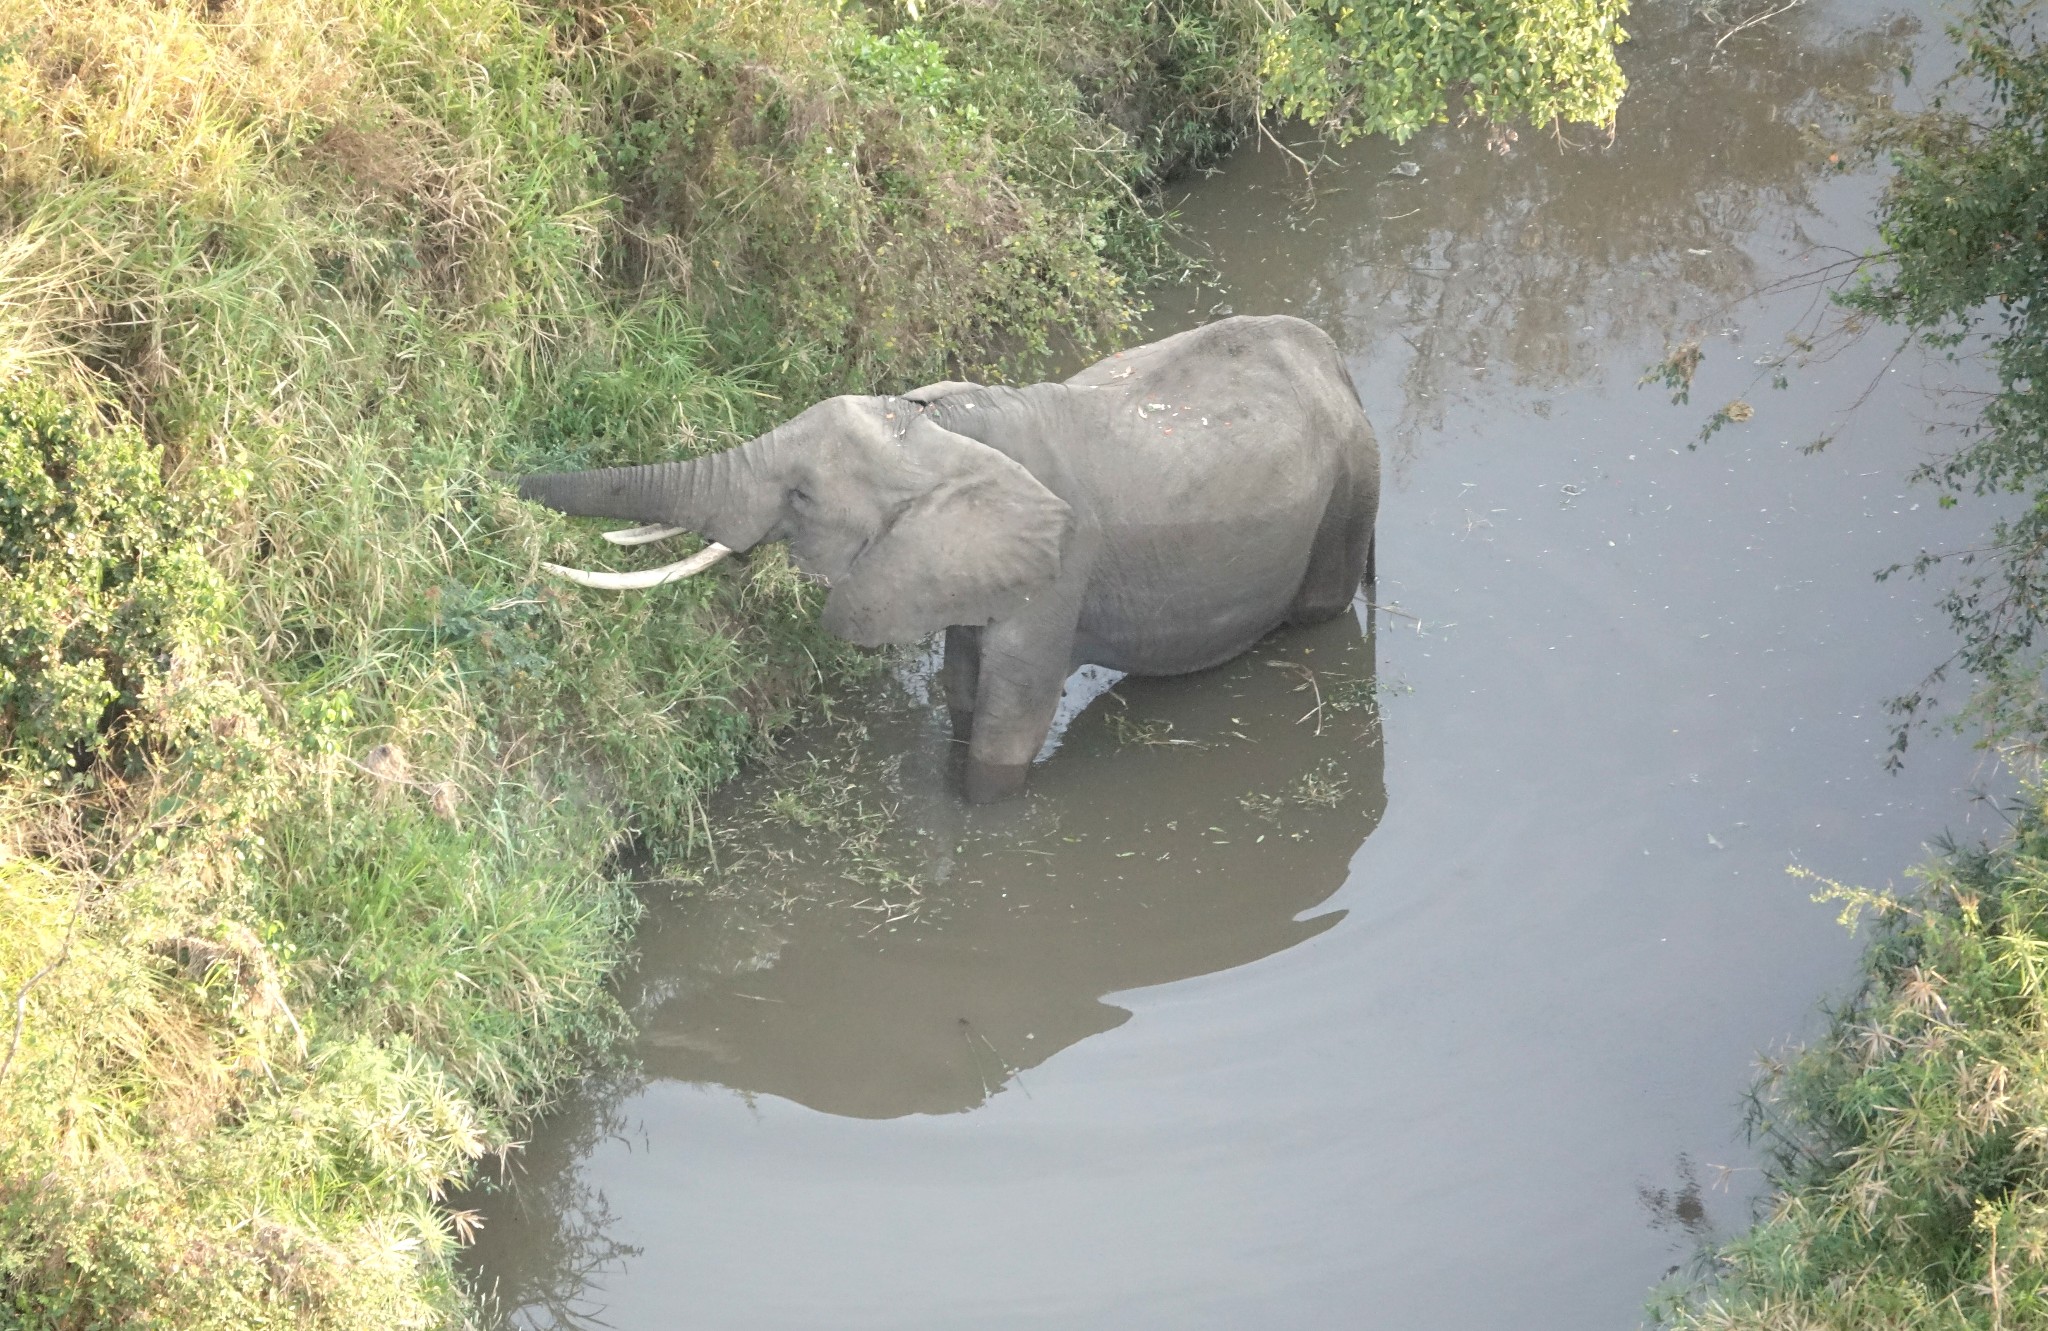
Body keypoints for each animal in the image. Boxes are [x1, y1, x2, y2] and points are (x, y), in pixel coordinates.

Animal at [516, 311, 1376, 798]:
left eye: (801, 495)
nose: (511, 480)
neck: (943, 427)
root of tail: (1338, 363)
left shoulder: (1056, 573)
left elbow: (1008, 724)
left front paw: (978, 811)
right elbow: (961, 685)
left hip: (1349, 492)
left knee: (1324, 614)